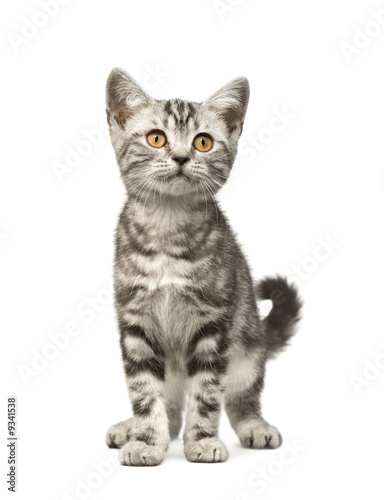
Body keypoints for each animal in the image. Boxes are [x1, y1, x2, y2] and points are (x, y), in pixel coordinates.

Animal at [103, 68, 302, 466]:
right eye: (156, 137)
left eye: (204, 142)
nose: (181, 157)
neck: (166, 228)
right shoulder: (135, 323)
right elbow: (144, 391)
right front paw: (146, 440)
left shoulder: (214, 322)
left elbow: (207, 392)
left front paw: (202, 440)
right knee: (170, 409)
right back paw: (132, 427)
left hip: (247, 347)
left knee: (242, 396)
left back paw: (254, 424)